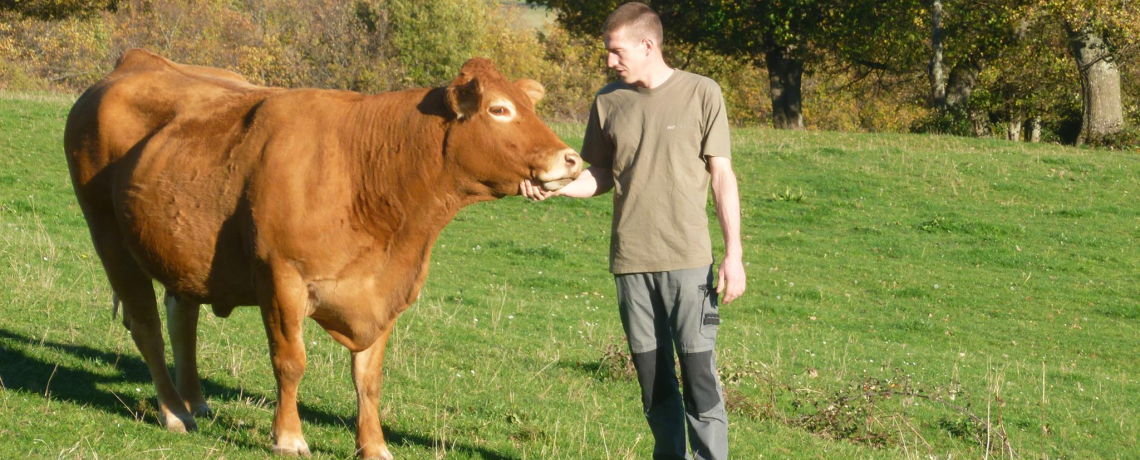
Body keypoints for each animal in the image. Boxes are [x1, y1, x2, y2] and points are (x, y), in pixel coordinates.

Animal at [62, 48, 579, 457]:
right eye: (499, 109)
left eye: (529, 105)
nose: (571, 159)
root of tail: (136, 62)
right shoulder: (281, 277)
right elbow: (290, 362)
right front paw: (288, 438)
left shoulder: (382, 292)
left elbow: (368, 378)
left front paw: (374, 445)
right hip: (109, 238)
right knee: (146, 325)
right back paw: (173, 411)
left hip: (178, 246)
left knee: (181, 319)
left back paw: (197, 400)